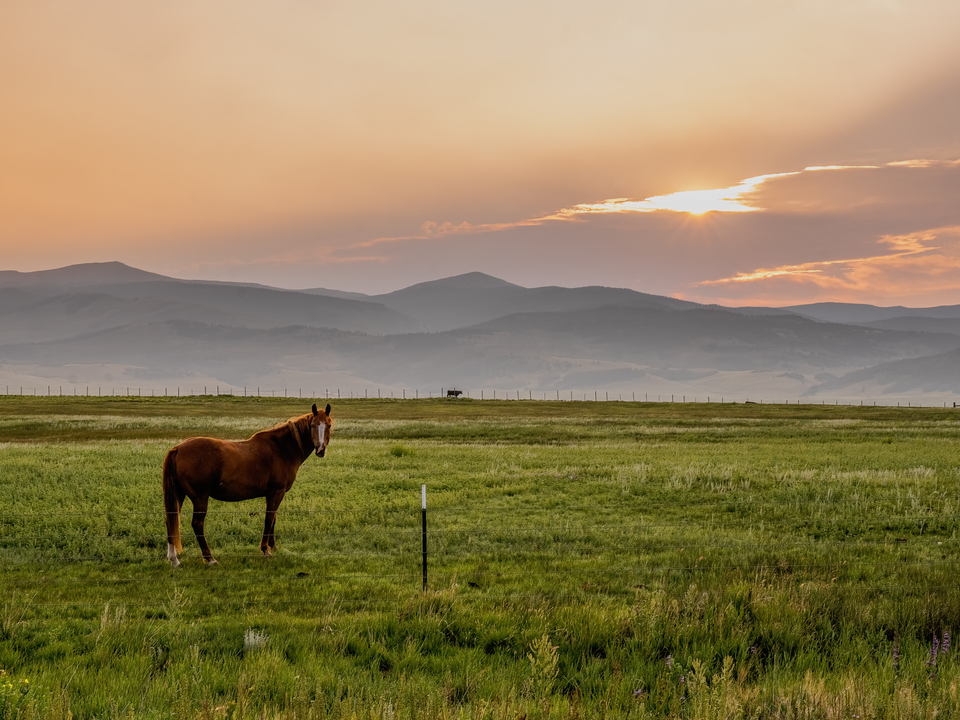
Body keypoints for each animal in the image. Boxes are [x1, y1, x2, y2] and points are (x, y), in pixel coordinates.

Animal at [162, 403, 332, 567]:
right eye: (313, 425)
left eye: (328, 425)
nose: (320, 449)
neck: (281, 449)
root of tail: (178, 448)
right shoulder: (277, 492)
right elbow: (269, 519)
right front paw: (265, 549)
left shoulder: (273, 494)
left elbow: (273, 519)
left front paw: (273, 546)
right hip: (200, 498)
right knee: (197, 524)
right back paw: (210, 558)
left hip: (179, 495)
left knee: (171, 521)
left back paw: (174, 559)